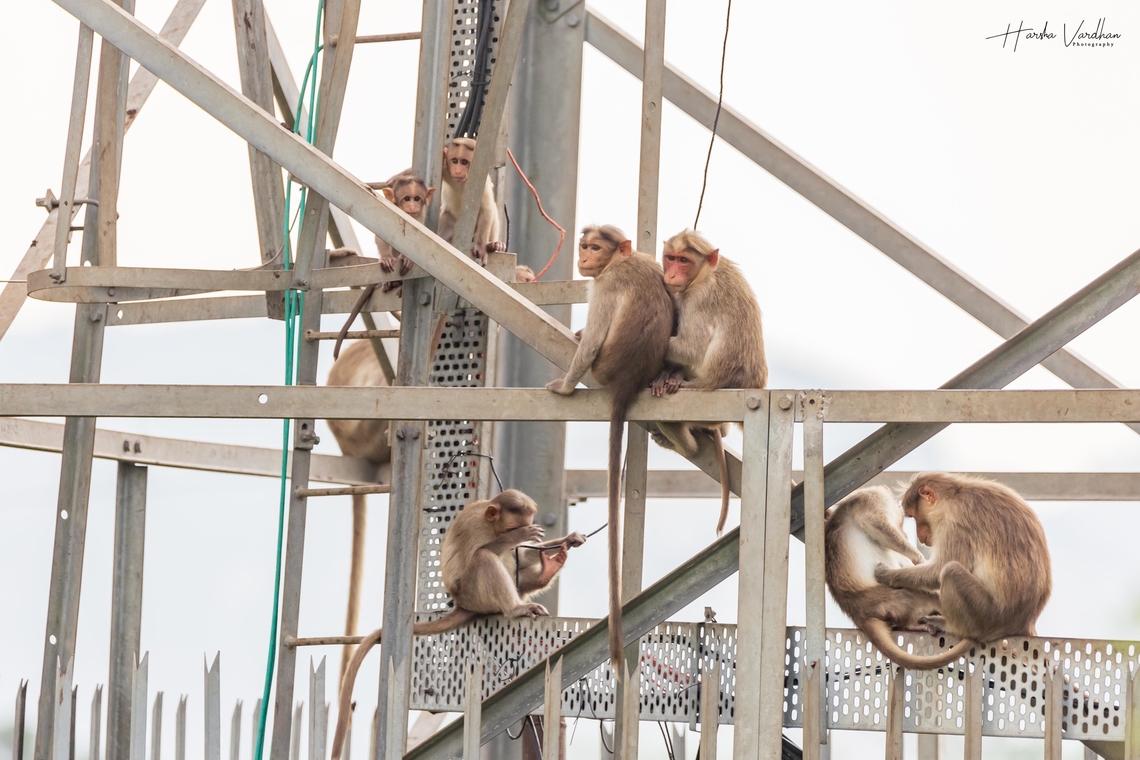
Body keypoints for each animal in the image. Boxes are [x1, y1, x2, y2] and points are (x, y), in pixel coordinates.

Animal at [330, 489, 586, 760]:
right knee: (484, 557)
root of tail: (464, 604)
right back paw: (516, 607)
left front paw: (569, 539)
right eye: (511, 528)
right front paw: (519, 537)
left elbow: (522, 553)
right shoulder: (473, 526)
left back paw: (545, 573)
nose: (520, 531)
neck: (490, 523)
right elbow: (481, 553)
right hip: (474, 593)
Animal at [545, 225, 674, 668]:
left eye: (594, 248)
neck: (622, 260)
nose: (583, 257)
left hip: (601, 368)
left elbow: (591, 339)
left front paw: (565, 386)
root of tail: (625, 382)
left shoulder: (604, 285)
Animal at [648, 229, 768, 536]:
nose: (672, 274)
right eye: (671, 258)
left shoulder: (698, 298)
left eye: (684, 260)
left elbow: (691, 348)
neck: (703, 274)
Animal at [825, 485, 974, 670]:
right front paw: (919, 558)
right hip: (890, 599)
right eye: (903, 522)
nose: (905, 533)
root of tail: (859, 614)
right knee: (921, 592)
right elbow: (872, 522)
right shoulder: (874, 498)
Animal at [874, 473, 1052, 645]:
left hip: (987, 616)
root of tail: (1025, 622)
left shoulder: (955, 521)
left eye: (914, 516)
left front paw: (887, 575)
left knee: (950, 571)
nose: (920, 535)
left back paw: (950, 626)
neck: (954, 495)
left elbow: (938, 569)